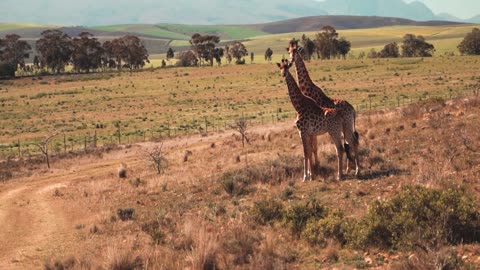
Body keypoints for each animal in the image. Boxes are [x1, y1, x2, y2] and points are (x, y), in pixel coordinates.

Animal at [288, 40, 360, 176]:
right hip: (346, 126)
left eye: (296, 52)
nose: (290, 61)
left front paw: (313, 170)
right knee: (349, 142)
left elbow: (313, 148)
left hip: (346, 125)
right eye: (289, 51)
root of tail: (353, 110)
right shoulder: (313, 129)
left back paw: (355, 170)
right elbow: (313, 148)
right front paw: (314, 169)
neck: (307, 90)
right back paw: (349, 169)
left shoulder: (311, 128)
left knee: (351, 142)